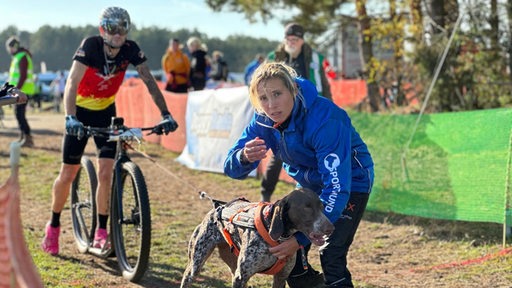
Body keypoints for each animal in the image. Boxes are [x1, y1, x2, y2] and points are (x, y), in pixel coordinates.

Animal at [181, 188, 336, 286]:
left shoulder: (281, 277)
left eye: (322, 206)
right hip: (195, 265)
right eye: (306, 207)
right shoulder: (241, 277)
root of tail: (216, 208)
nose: (331, 228)